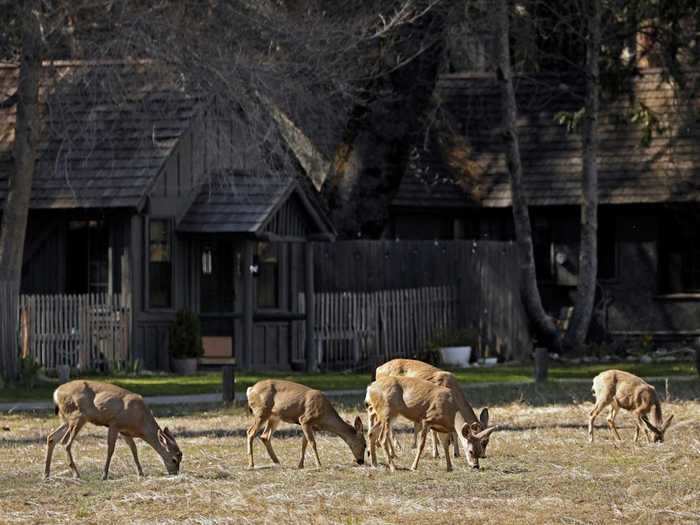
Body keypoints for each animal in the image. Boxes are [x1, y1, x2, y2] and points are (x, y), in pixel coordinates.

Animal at [45, 380, 182, 478]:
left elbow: (134, 449)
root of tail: (56, 393)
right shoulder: (114, 424)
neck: (140, 422)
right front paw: (104, 475)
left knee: (52, 437)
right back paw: (76, 474)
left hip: (67, 419)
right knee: (66, 443)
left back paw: (46, 474)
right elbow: (110, 450)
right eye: (174, 459)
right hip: (78, 416)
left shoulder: (125, 431)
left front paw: (141, 473)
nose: (175, 473)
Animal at [366, 374, 498, 472]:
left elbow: (445, 445)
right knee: (382, 438)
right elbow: (421, 445)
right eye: (470, 451)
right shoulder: (427, 419)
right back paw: (393, 467)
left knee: (371, 432)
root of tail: (370, 388)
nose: (476, 466)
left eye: (480, 448)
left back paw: (374, 463)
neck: (452, 410)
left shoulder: (442, 427)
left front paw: (449, 467)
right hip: (387, 412)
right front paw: (414, 467)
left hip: (384, 415)